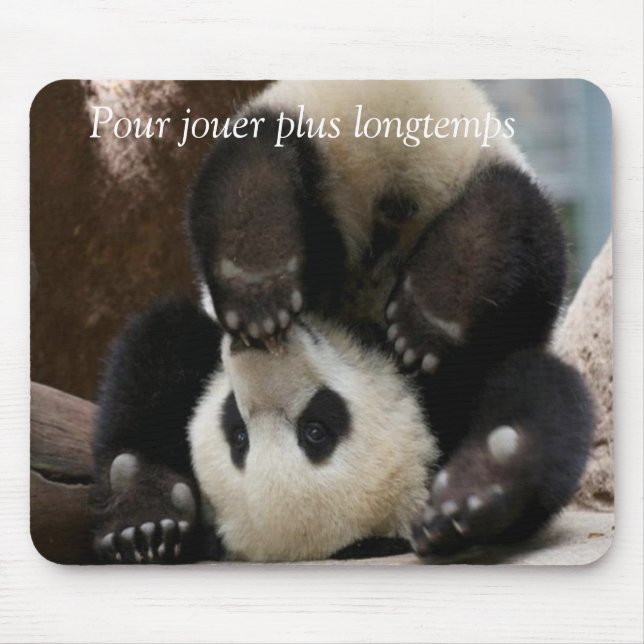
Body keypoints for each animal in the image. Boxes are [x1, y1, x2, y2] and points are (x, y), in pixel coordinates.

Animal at [91, 81, 595, 563]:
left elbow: (543, 395)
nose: (254, 350)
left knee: (513, 218)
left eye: (316, 431)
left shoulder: (456, 387)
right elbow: (157, 352)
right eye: (237, 432)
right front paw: (145, 510)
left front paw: (478, 485)